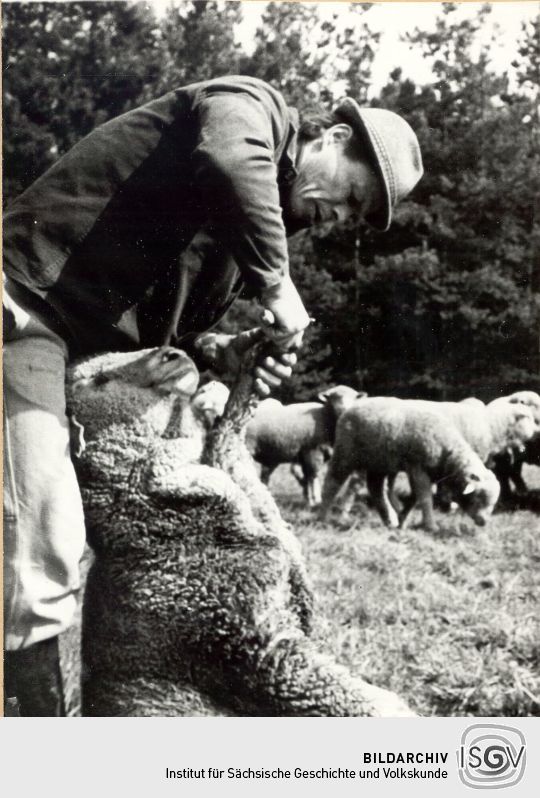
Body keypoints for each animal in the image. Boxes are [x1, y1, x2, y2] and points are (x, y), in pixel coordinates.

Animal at [67, 346, 414, 720]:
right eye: (99, 380)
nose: (173, 353)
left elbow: (228, 434)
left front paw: (254, 367)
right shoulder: (258, 651)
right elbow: (360, 702)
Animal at [320, 398, 502, 536]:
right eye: (477, 497)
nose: (483, 522)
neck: (448, 452)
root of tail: (350, 408)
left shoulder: (426, 473)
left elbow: (416, 497)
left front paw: (402, 520)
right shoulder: (418, 468)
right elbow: (425, 498)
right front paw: (430, 526)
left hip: (379, 462)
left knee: (376, 488)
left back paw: (389, 520)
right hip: (345, 452)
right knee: (332, 481)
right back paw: (321, 517)